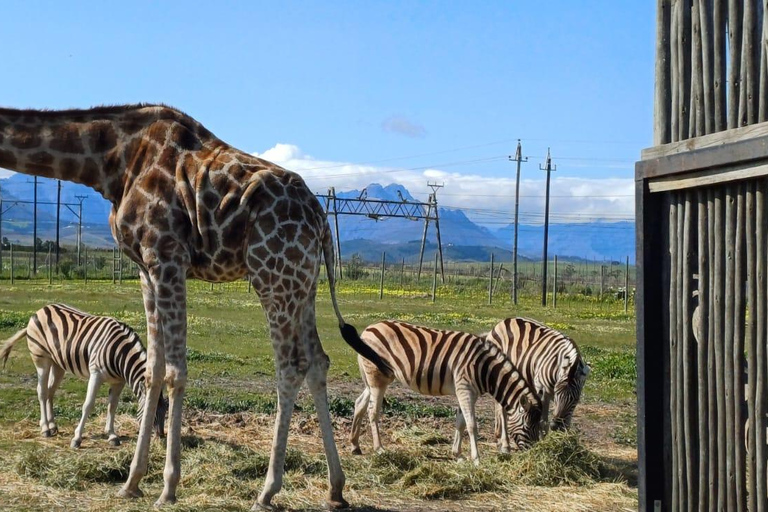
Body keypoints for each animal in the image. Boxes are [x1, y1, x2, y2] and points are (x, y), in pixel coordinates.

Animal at [0, 304, 166, 448]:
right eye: (150, 413)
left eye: (166, 411)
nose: (161, 440)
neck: (121, 355)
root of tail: (42, 309)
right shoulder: (96, 373)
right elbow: (88, 405)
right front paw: (77, 438)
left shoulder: (118, 381)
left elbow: (112, 406)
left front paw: (112, 435)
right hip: (41, 359)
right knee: (42, 391)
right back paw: (45, 428)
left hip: (58, 364)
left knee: (50, 392)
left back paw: (52, 426)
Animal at [348, 320, 540, 464]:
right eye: (527, 427)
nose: (534, 452)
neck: (485, 368)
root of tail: (369, 328)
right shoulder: (465, 390)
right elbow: (472, 425)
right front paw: (476, 459)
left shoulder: (466, 392)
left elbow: (461, 423)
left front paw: (458, 455)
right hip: (377, 379)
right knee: (372, 412)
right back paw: (379, 449)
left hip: (376, 379)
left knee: (360, 404)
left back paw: (355, 445)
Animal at [484, 316, 592, 452]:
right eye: (557, 395)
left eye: (576, 400)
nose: (556, 426)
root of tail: (504, 321)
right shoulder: (543, 390)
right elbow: (543, 422)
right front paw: (544, 445)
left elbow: (566, 422)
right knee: (502, 409)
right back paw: (505, 443)